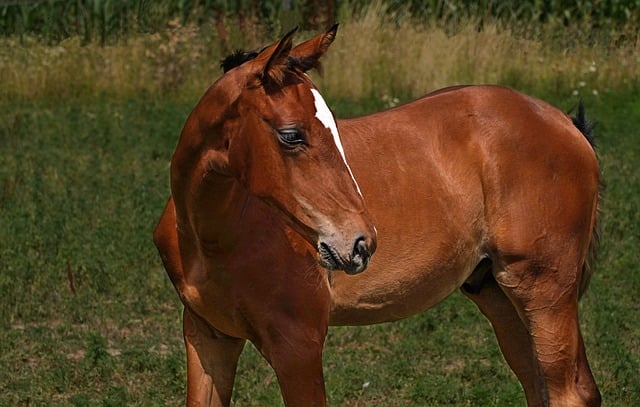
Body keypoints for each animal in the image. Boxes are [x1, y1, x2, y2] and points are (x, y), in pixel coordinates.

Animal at [154, 26, 600, 407]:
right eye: (291, 135)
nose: (360, 242)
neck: (214, 236)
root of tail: (565, 123)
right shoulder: (208, 336)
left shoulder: (297, 346)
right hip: (500, 295)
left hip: (545, 294)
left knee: (568, 393)